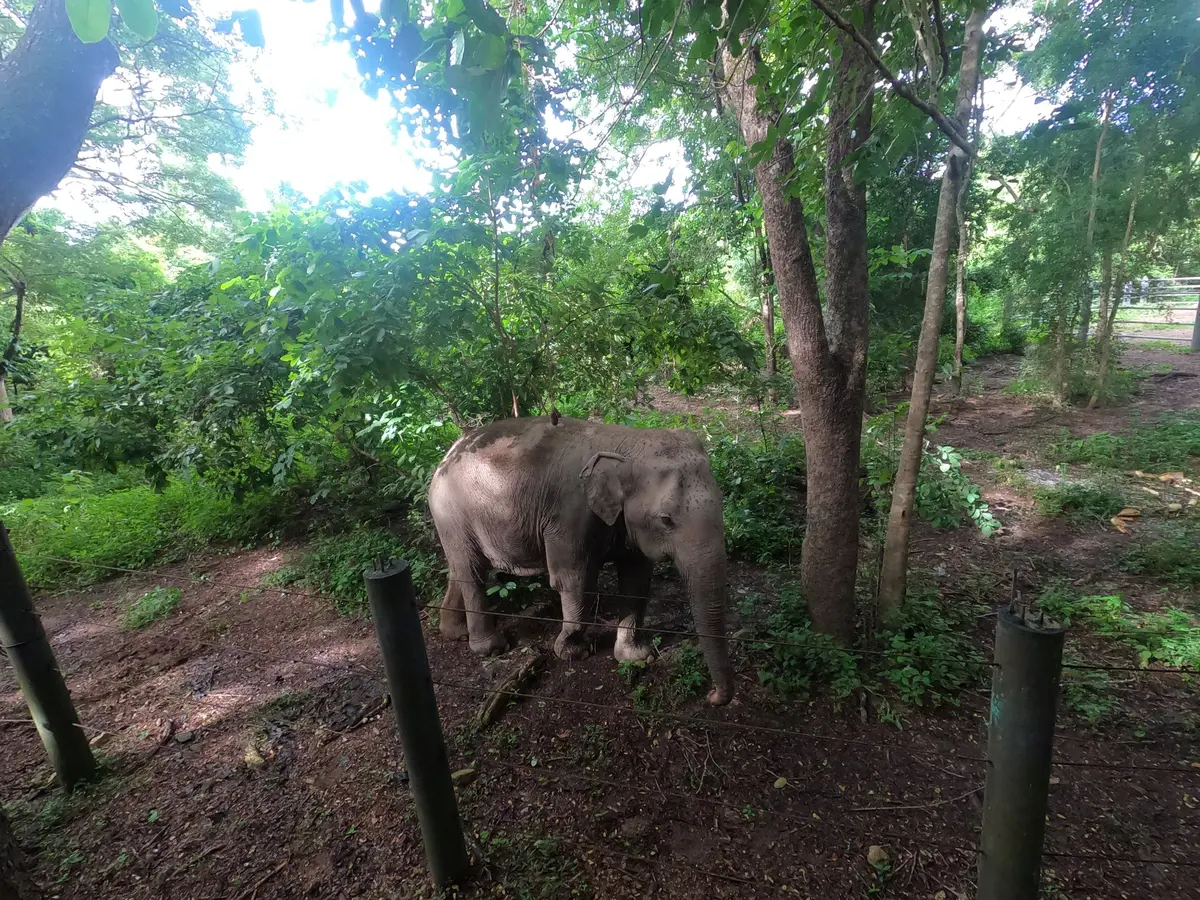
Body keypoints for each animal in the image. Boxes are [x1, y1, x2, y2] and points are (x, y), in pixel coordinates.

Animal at [427, 415, 734, 706]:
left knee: (458, 570)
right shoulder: (570, 516)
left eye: (722, 503)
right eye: (666, 520)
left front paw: (635, 657)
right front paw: (574, 652)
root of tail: (446, 456)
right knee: (472, 572)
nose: (713, 696)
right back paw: (491, 648)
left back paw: (455, 632)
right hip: (452, 512)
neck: (628, 444)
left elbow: (636, 579)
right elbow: (573, 578)